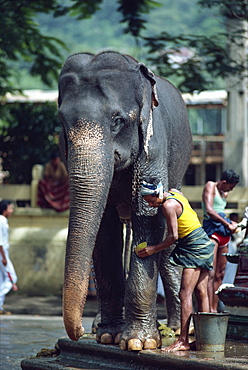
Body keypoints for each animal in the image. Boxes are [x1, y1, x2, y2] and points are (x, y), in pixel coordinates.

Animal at [58, 50, 192, 352]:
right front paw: (108, 336)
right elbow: (104, 229)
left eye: (117, 120)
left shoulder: (154, 145)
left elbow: (148, 218)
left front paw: (138, 343)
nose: (77, 332)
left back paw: (176, 330)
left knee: (168, 241)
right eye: (61, 122)